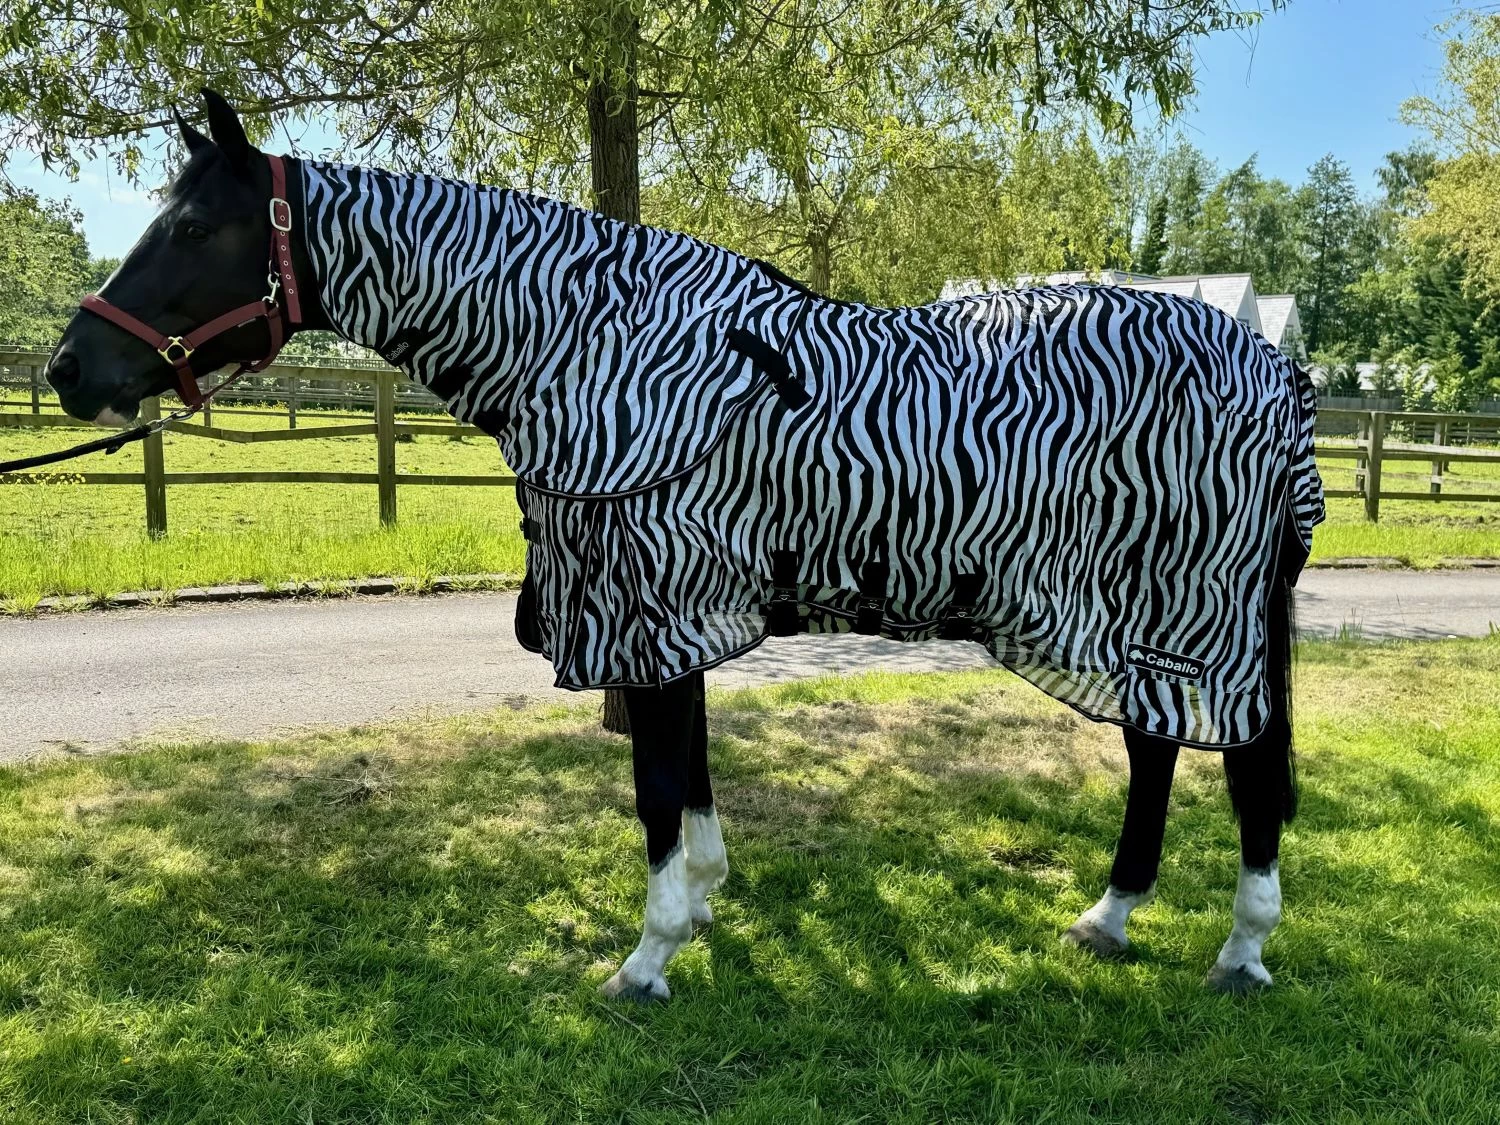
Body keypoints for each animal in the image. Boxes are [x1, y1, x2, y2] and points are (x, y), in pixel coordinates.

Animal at [44, 90, 1323, 1001]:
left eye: (193, 226)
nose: (68, 370)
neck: (597, 350)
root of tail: (1274, 369)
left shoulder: (645, 613)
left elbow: (658, 788)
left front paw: (648, 958)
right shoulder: (672, 617)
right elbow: (692, 776)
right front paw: (703, 904)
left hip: (1198, 612)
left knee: (1246, 764)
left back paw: (1242, 947)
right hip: (1138, 620)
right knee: (1158, 750)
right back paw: (1111, 918)